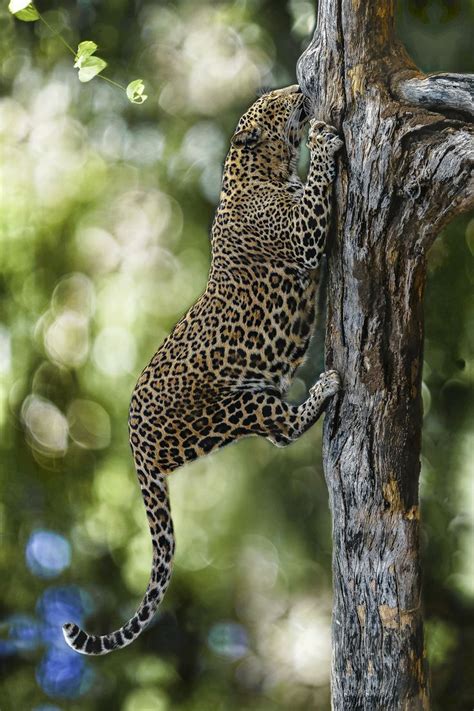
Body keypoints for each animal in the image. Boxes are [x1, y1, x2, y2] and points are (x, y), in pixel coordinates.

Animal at [64, 83, 344, 656]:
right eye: (274, 102)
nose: (300, 87)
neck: (256, 167)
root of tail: (133, 438)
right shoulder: (303, 234)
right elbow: (316, 187)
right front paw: (325, 139)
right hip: (237, 405)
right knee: (282, 429)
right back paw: (327, 383)